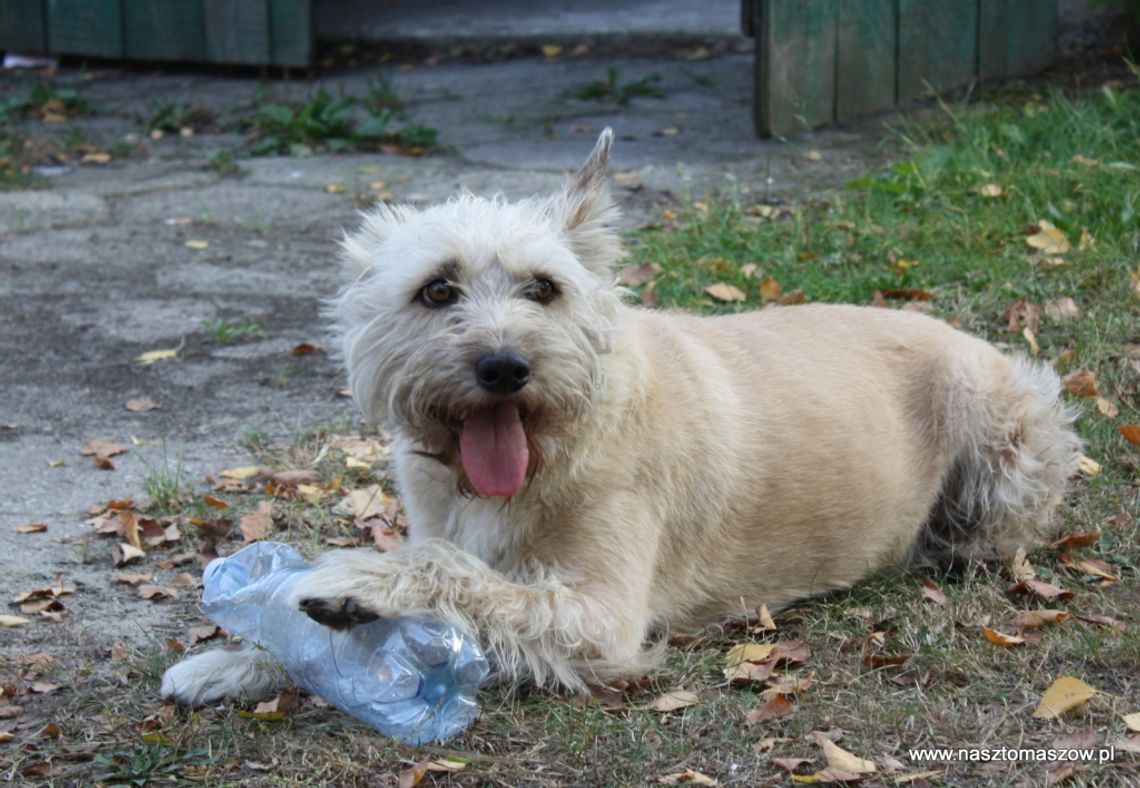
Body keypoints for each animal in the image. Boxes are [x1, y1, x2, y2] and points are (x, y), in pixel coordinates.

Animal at [160, 126, 1076, 707]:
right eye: (437, 291)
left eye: (543, 288)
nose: (505, 367)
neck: (549, 447)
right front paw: (234, 662)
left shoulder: (601, 615)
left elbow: (455, 576)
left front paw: (355, 581)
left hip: (1010, 434)